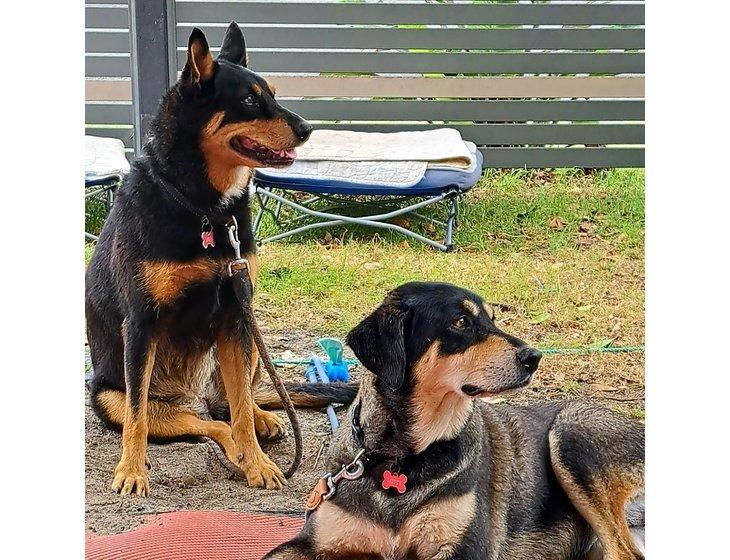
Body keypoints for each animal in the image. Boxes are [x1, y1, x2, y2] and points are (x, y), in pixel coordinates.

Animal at [83, 23, 322, 494]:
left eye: (272, 93)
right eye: (248, 100)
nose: (306, 129)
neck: (205, 209)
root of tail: (193, 397)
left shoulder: (235, 314)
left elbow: (243, 410)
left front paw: (259, 463)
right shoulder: (141, 324)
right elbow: (137, 419)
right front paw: (131, 471)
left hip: (248, 342)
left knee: (230, 407)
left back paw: (261, 425)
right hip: (109, 395)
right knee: (204, 422)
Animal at [264, 282, 644, 560]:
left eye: (492, 319)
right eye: (461, 322)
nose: (534, 357)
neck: (403, 458)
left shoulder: (464, 549)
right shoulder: (310, 542)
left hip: (570, 431)